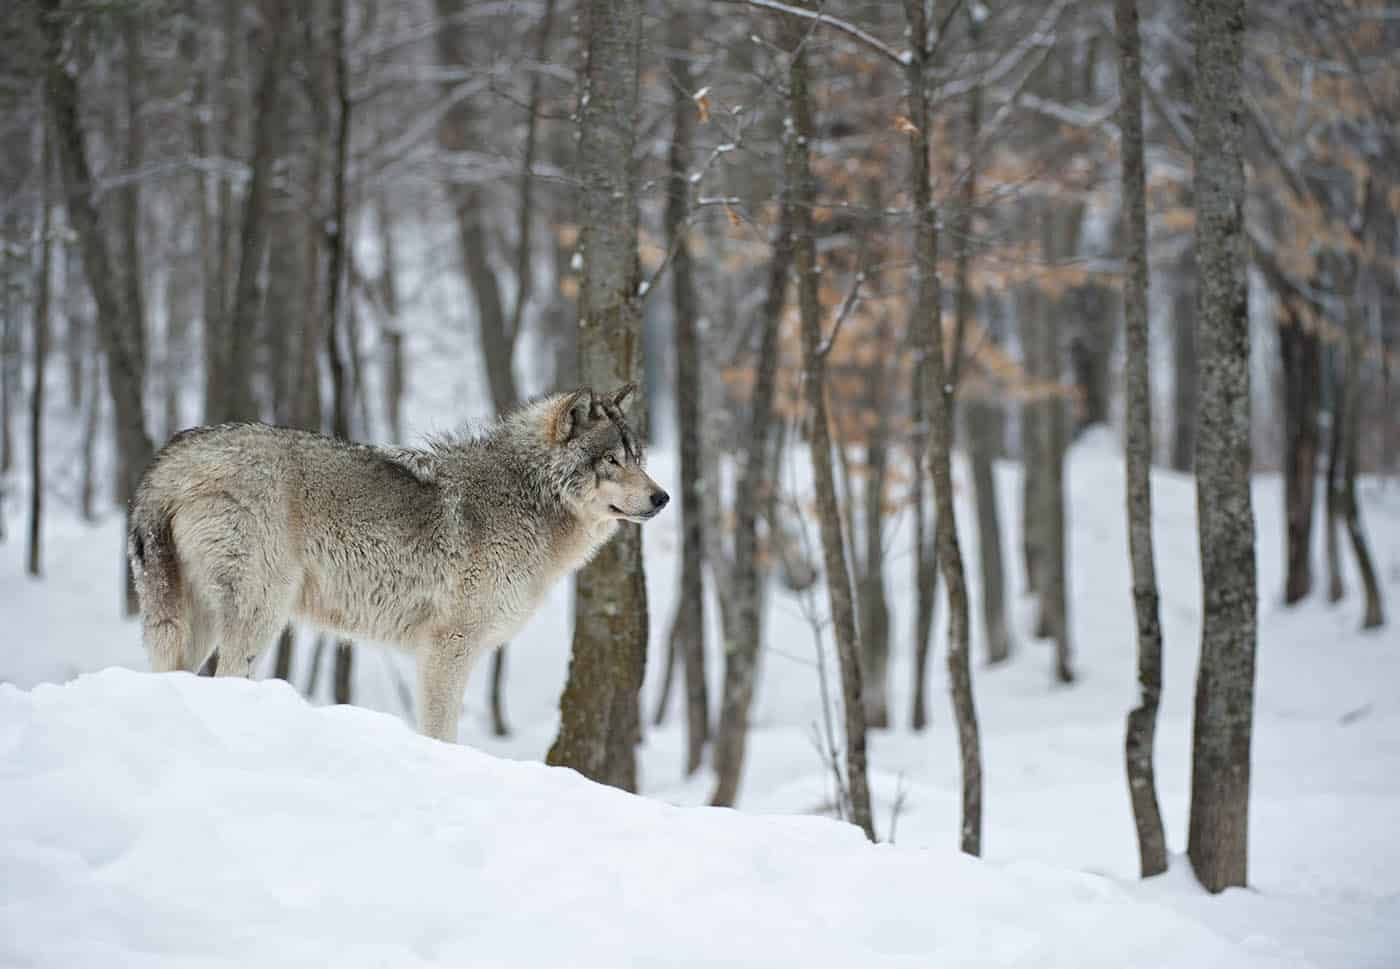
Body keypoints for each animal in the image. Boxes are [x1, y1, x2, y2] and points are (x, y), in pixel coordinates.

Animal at [127, 386, 666, 739]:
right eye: (611, 461)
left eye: (638, 457)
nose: (662, 497)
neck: (525, 496)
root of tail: (171, 460)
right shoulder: (449, 646)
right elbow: (440, 731)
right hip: (261, 616)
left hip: (192, 624)